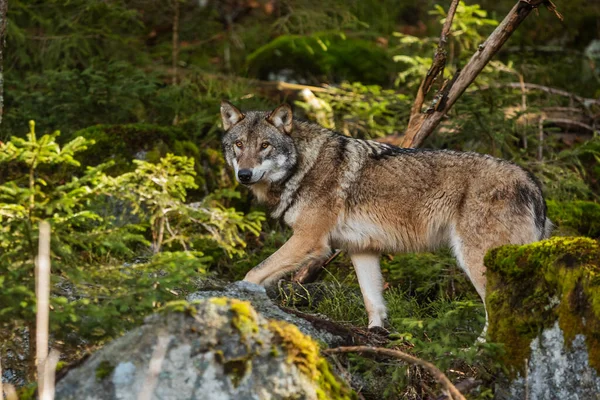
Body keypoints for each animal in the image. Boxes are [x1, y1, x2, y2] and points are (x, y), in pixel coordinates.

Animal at [221, 101, 552, 334]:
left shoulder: (309, 241)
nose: (244, 175)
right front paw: (376, 335)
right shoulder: (361, 249)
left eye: (264, 145)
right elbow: (373, 303)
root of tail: (533, 184)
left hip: (476, 261)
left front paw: (237, 301)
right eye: (239, 145)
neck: (304, 165)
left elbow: (253, 273)